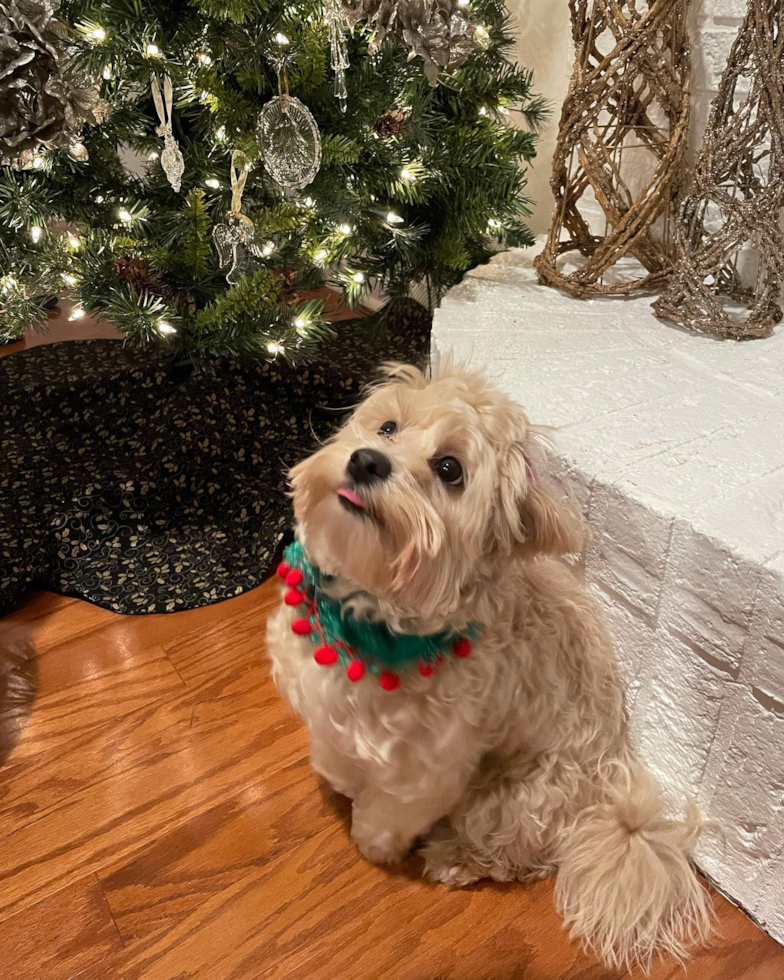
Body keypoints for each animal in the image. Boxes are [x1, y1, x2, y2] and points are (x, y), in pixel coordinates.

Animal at [266, 362, 712, 972]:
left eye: (449, 469)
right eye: (387, 427)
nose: (366, 461)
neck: (371, 626)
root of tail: (612, 806)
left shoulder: (425, 774)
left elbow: (384, 813)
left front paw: (371, 842)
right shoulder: (327, 707)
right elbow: (336, 754)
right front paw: (340, 779)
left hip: (510, 802)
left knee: (511, 858)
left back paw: (456, 858)